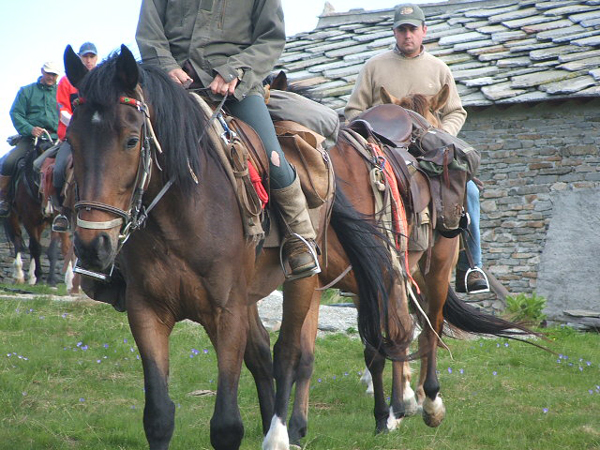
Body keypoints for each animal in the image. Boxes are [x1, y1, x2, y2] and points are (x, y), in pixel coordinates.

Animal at [64, 44, 412, 450]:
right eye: (71, 142)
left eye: (132, 140)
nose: (93, 246)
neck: (181, 215)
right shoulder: (146, 311)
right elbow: (159, 417)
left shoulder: (226, 312)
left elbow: (227, 425)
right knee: (265, 355)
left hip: (303, 281)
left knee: (288, 353)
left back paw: (280, 434)